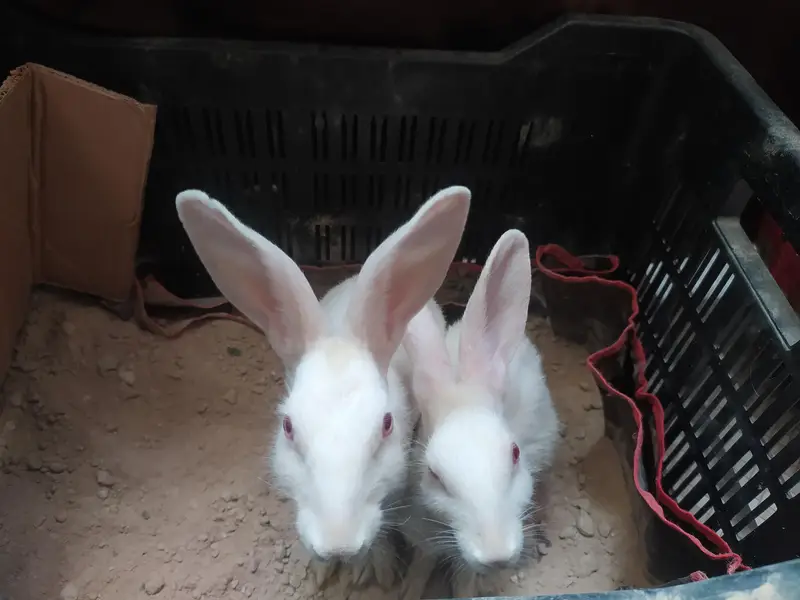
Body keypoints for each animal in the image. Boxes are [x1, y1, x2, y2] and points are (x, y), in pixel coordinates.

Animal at [399, 229, 560, 599]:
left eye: (514, 454)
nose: (496, 554)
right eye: (433, 474)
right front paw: (408, 590)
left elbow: (464, 578)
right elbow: (421, 565)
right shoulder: (421, 534)